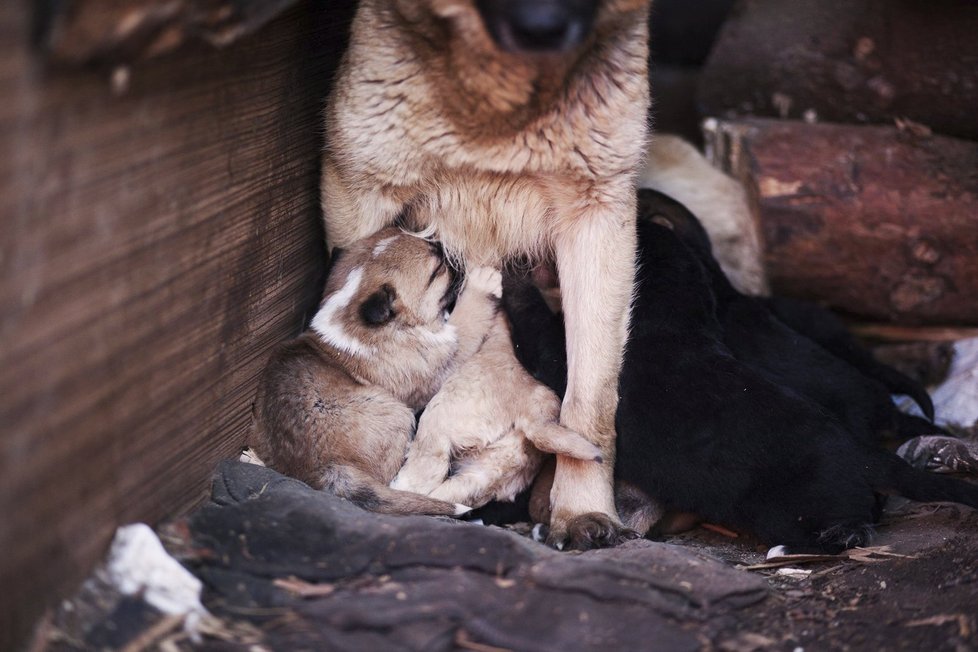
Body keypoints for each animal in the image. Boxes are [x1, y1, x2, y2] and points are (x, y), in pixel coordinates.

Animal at [250, 227, 496, 516]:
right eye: (436, 270)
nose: (449, 248)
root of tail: (326, 470)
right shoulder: (449, 351)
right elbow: (468, 319)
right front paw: (484, 282)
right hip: (398, 414)